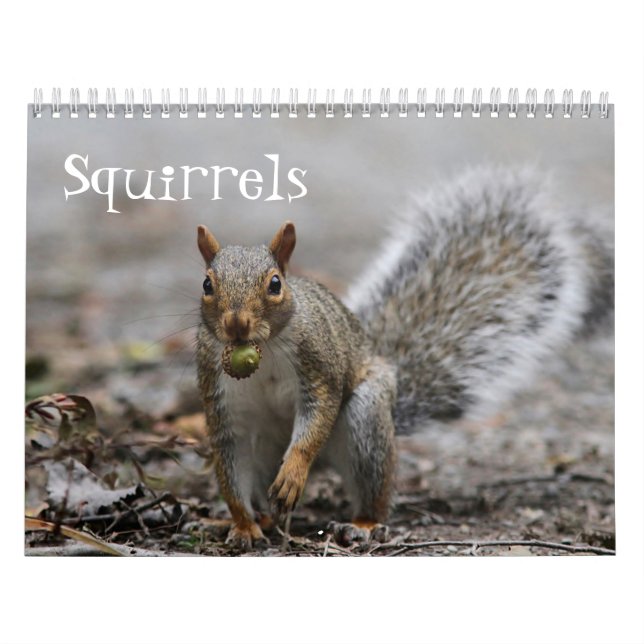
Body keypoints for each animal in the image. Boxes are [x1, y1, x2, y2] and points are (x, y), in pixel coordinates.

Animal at [195, 166, 614, 549]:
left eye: (275, 284)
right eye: (207, 285)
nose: (237, 324)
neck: (264, 353)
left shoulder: (318, 362)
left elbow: (320, 412)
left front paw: (294, 470)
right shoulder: (221, 398)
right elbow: (230, 467)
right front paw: (242, 525)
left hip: (367, 417)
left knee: (375, 491)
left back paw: (362, 524)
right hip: (264, 448)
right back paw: (260, 518)